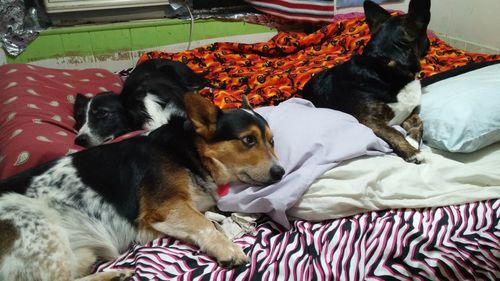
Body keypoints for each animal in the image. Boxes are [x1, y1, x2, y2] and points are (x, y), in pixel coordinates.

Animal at [0, 92, 286, 280]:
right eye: (248, 140)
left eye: (272, 141)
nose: (281, 173)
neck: (189, 152)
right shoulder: (165, 207)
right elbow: (205, 224)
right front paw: (228, 248)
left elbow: (210, 219)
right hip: (37, 220)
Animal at [302, 0, 432, 163]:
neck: (389, 63)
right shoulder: (370, 120)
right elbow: (394, 132)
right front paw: (412, 152)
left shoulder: (411, 113)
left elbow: (419, 124)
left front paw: (412, 143)